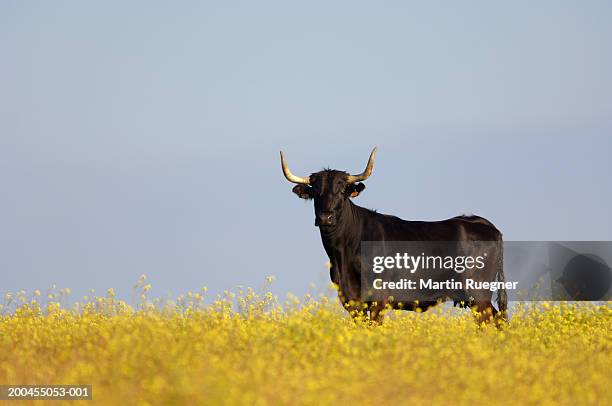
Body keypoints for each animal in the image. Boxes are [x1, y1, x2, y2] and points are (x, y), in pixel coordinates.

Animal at [282, 147, 506, 326]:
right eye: (316, 192)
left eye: (342, 190)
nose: (325, 217)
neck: (343, 254)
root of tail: (481, 222)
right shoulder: (351, 301)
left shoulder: (378, 299)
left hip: (478, 293)